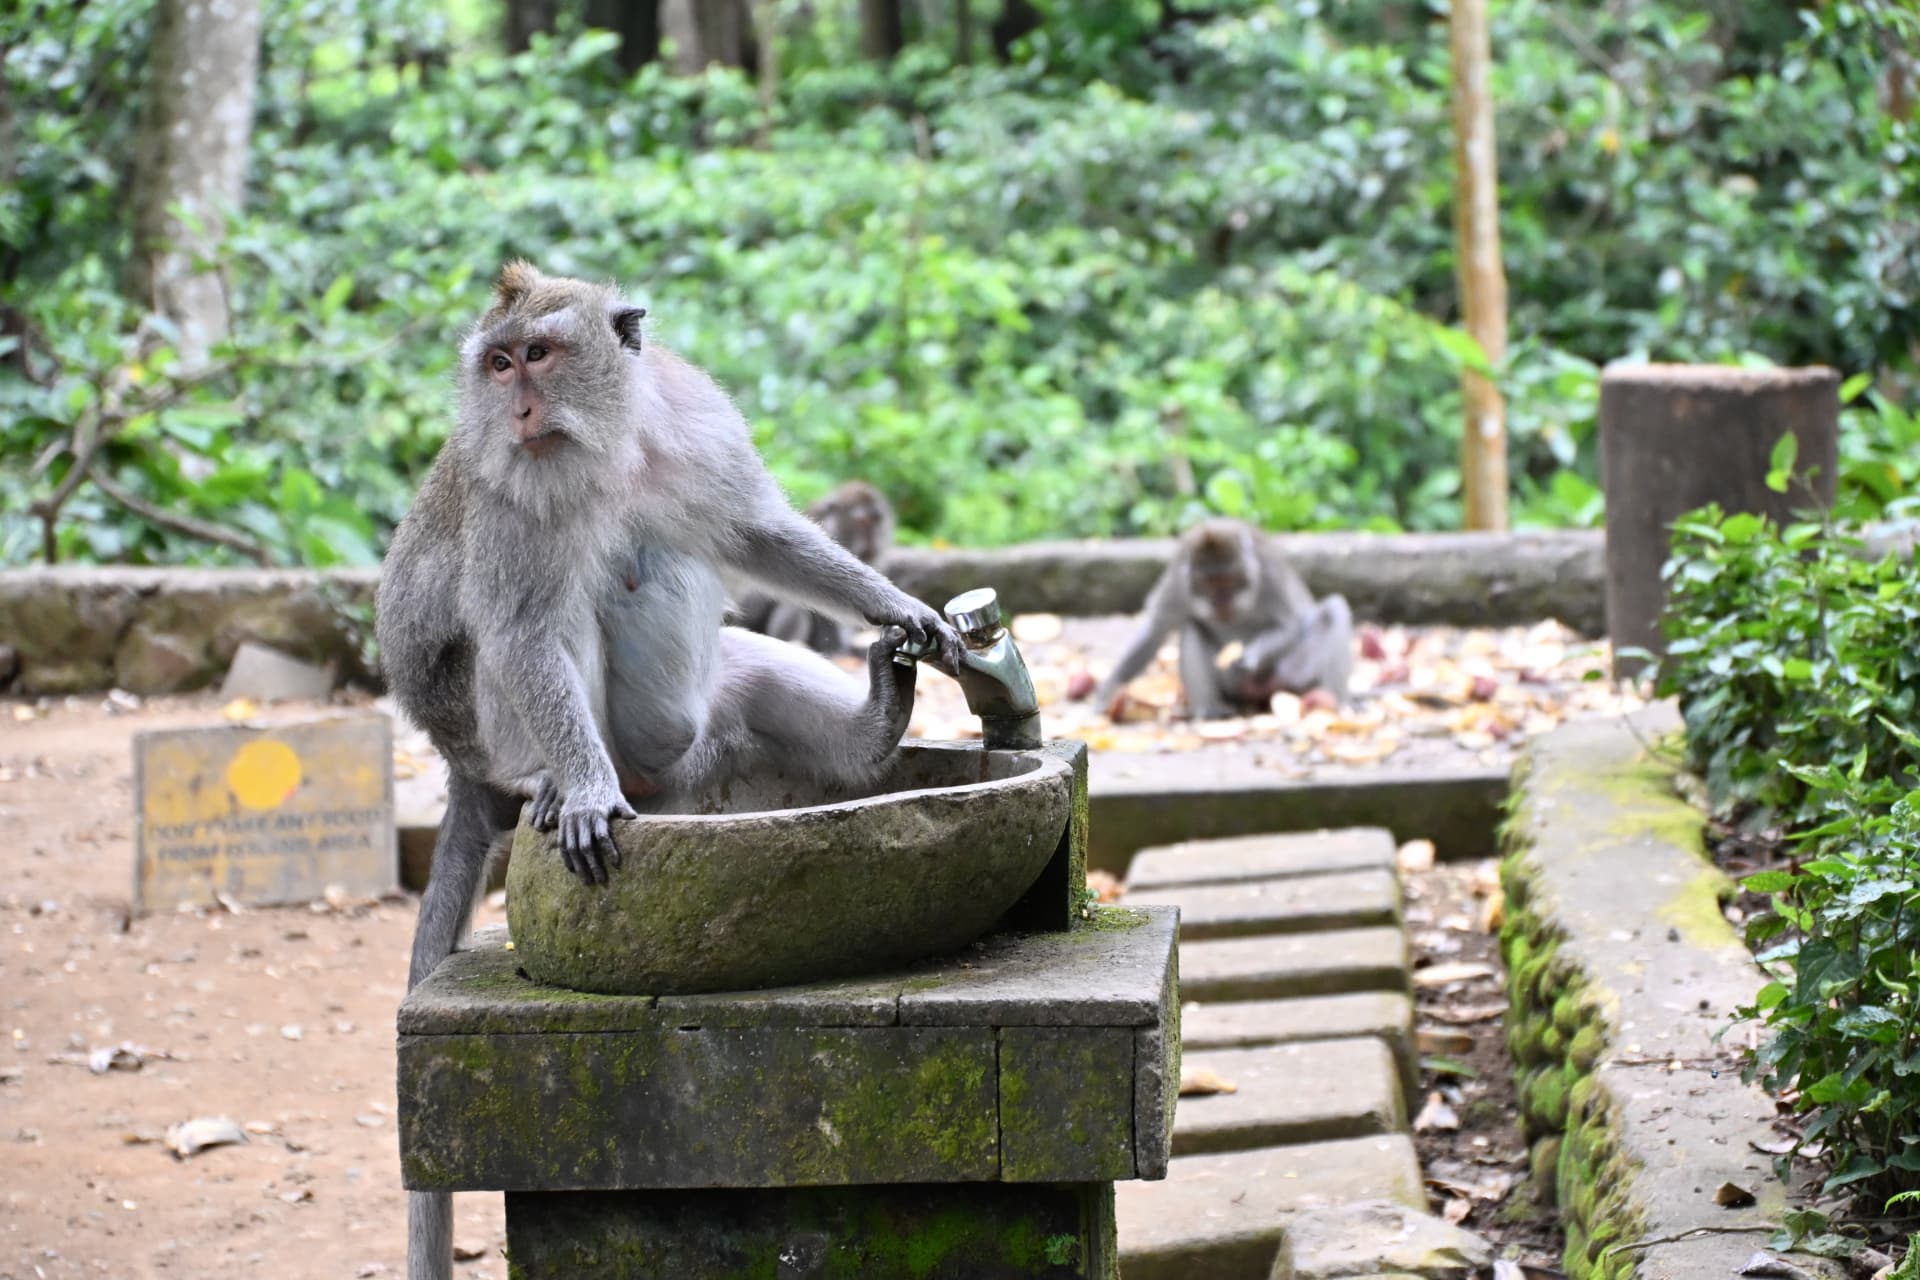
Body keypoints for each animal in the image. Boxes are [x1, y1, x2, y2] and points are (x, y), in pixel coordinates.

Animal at [1085, 517, 1353, 719]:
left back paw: (1336, 701)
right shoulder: (1178, 581)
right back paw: (1210, 709)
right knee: (1192, 627)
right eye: (1207, 583)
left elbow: (1289, 625)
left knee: (1334, 609)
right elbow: (1155, 631)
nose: (1220, 602)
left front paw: (1250, 657)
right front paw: (1108, 690)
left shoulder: (1269, 575)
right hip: (1230, 685)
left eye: (1228, 579)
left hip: (1292, 673)